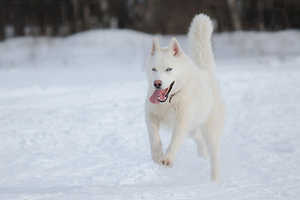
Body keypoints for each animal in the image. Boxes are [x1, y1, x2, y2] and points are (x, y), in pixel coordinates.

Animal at [145, 14, 225, 182]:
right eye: (153, 69)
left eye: (169, 69)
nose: (157, 83)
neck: (169, 101)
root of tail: (206, 72)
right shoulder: (151, 115)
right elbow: (153, 136)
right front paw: (157, 156)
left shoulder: (181, 123)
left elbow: (175, 142)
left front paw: (167, 159)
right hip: (192, 127)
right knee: (198, 137)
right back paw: (202, 152)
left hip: (211, 131)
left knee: (215, 156)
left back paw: (214, 180)